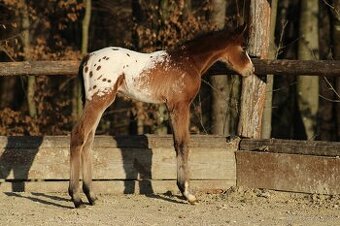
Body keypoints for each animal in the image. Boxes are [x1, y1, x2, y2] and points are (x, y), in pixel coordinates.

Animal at [69, 25, 254, 208]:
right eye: (243, 47)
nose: (251, 70)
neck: (189, 61)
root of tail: (88, 57)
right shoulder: (179, 105)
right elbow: (183, 144)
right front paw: (188, 194)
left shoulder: (172, 107)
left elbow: (176, 144)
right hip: (98, 100)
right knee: (78, 135)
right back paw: (76, 198)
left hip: (98, 103)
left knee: (88, 141)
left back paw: (91, 196)